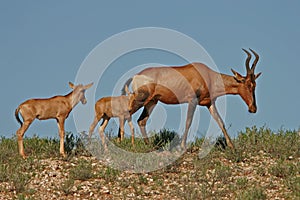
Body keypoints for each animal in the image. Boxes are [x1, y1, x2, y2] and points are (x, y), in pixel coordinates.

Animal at [123, 48, 262, 150]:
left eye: (255, 85)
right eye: (248, 84)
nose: (253, 108)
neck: (207, 75)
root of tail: (135, 76)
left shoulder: (209, 103)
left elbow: (220, 121)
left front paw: (231, 146)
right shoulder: (192, 101)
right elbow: (188, 122)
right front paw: (183, 146)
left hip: (152, 102)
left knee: (141, 121)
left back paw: (149, 145)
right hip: (140, 100)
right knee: (125, 114)